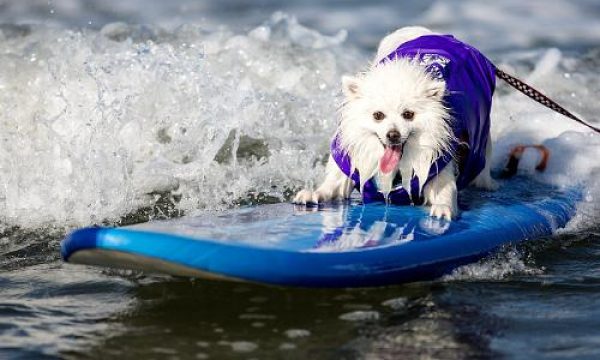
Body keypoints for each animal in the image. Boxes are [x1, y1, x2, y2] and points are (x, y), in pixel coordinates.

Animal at [294, 26, 496, 219]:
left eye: (408, 114)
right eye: (378, 115)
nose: (393, 135)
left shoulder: (437, 162)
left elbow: (445, 191)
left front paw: (443, 208)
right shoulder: (352, 163)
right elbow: (332, 186)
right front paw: (313, 193)